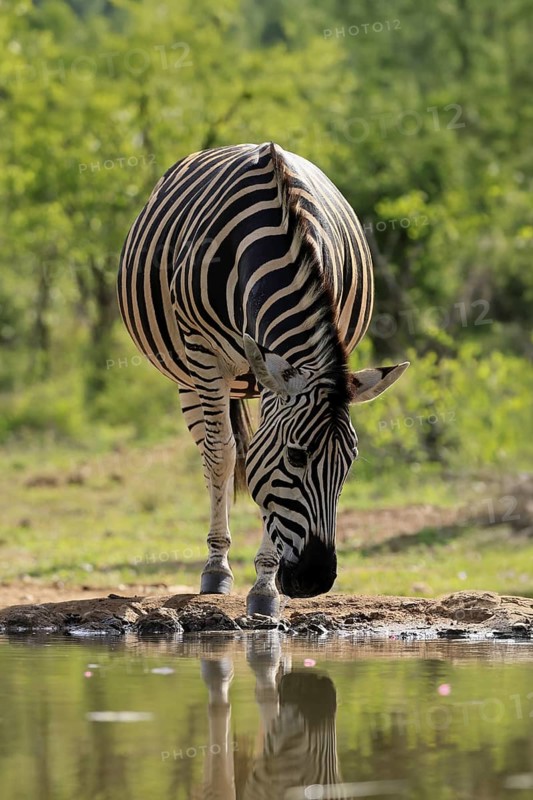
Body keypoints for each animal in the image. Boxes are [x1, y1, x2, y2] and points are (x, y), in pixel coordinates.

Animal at [118, 141, 408, 616]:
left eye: (350, 462)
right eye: (295, 457)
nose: (315, 581)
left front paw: (265, 585)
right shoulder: (205, 352)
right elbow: (223, 457)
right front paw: (220, 569)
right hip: (189, 378)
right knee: (214, 453)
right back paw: (216, 562)